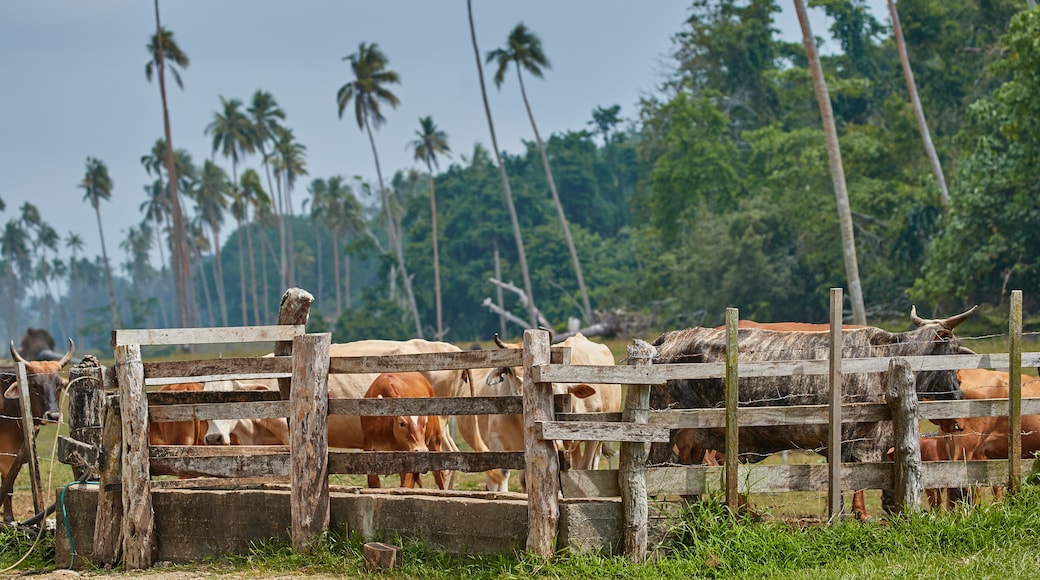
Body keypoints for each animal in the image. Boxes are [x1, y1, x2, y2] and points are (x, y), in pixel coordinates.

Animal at [644, 309, 977, 523]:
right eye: (952, 352)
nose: (960, 402)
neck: (883, 361)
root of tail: (669, 339)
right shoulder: (849, 442)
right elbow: (844, 486)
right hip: (666, 433)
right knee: (656, 474)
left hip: (695, 439)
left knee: (689, 482)